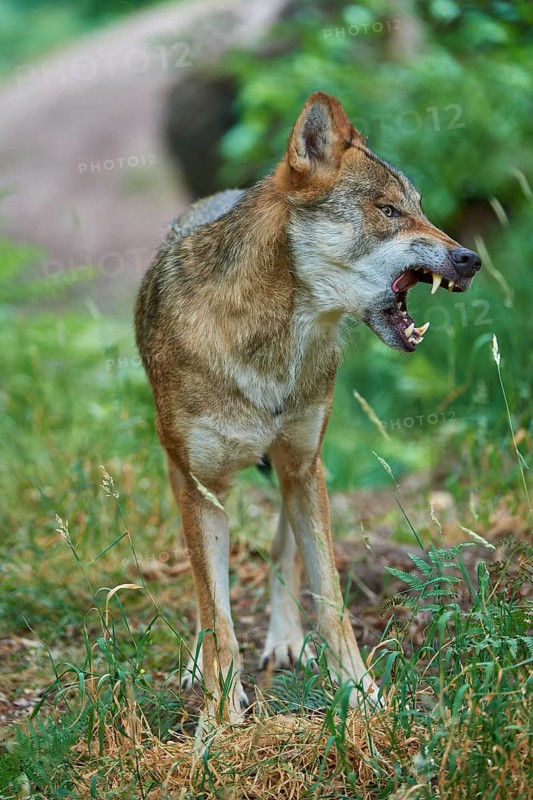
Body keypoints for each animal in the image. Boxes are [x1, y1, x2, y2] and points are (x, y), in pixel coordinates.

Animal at [135, 91, 481, 725]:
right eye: (388, 211)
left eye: (420, 209)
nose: (469, 258)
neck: (271, 345)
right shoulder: (201, 486)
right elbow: (216, 610)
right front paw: (220, 715)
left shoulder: (302, 466)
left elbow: (331, 600)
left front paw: (362, 695)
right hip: (186, 472)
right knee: (208, 588)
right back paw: (200, 662)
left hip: (300, 470)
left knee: (282, 552)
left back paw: (287, 640)